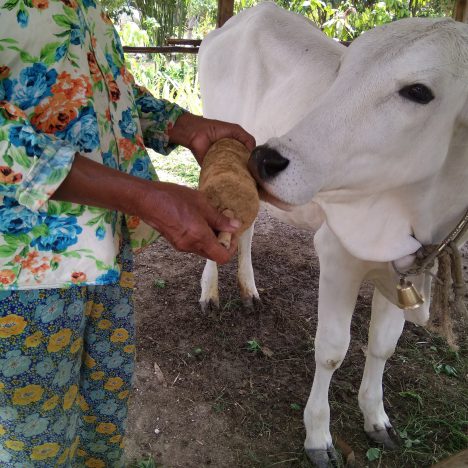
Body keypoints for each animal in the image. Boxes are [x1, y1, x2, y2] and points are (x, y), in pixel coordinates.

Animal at [198, 2, 468, 464]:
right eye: (345, 68)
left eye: (419, 91)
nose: (266, 159)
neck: (425, 214)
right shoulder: (338, 255)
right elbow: (331, 351)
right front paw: (318, 436)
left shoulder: (406, 269)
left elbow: (384, 344)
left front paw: (376, 417)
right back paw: (210, 291)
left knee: (245, 229)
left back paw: (249, 290)